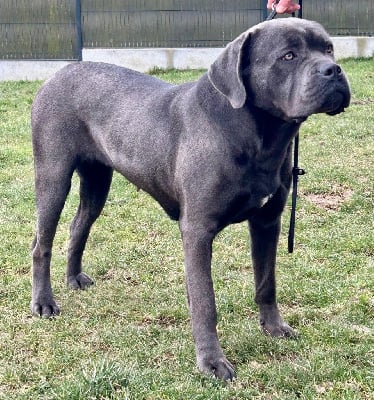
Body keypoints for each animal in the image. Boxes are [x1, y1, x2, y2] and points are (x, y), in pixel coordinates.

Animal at [31, 18, 350, 380]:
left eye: (329, 48)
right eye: (288, 55)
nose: (334, 70)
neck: (257, 135)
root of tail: (56, 74)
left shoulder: (268, 221)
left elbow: (266, 281)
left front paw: (274, 328)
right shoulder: (197, 231)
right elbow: (205, 301)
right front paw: (211, 361)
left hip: (98, 183)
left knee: (78, 228)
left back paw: (73, 278)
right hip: (53, 177)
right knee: (41, 244)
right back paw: (44, 303)